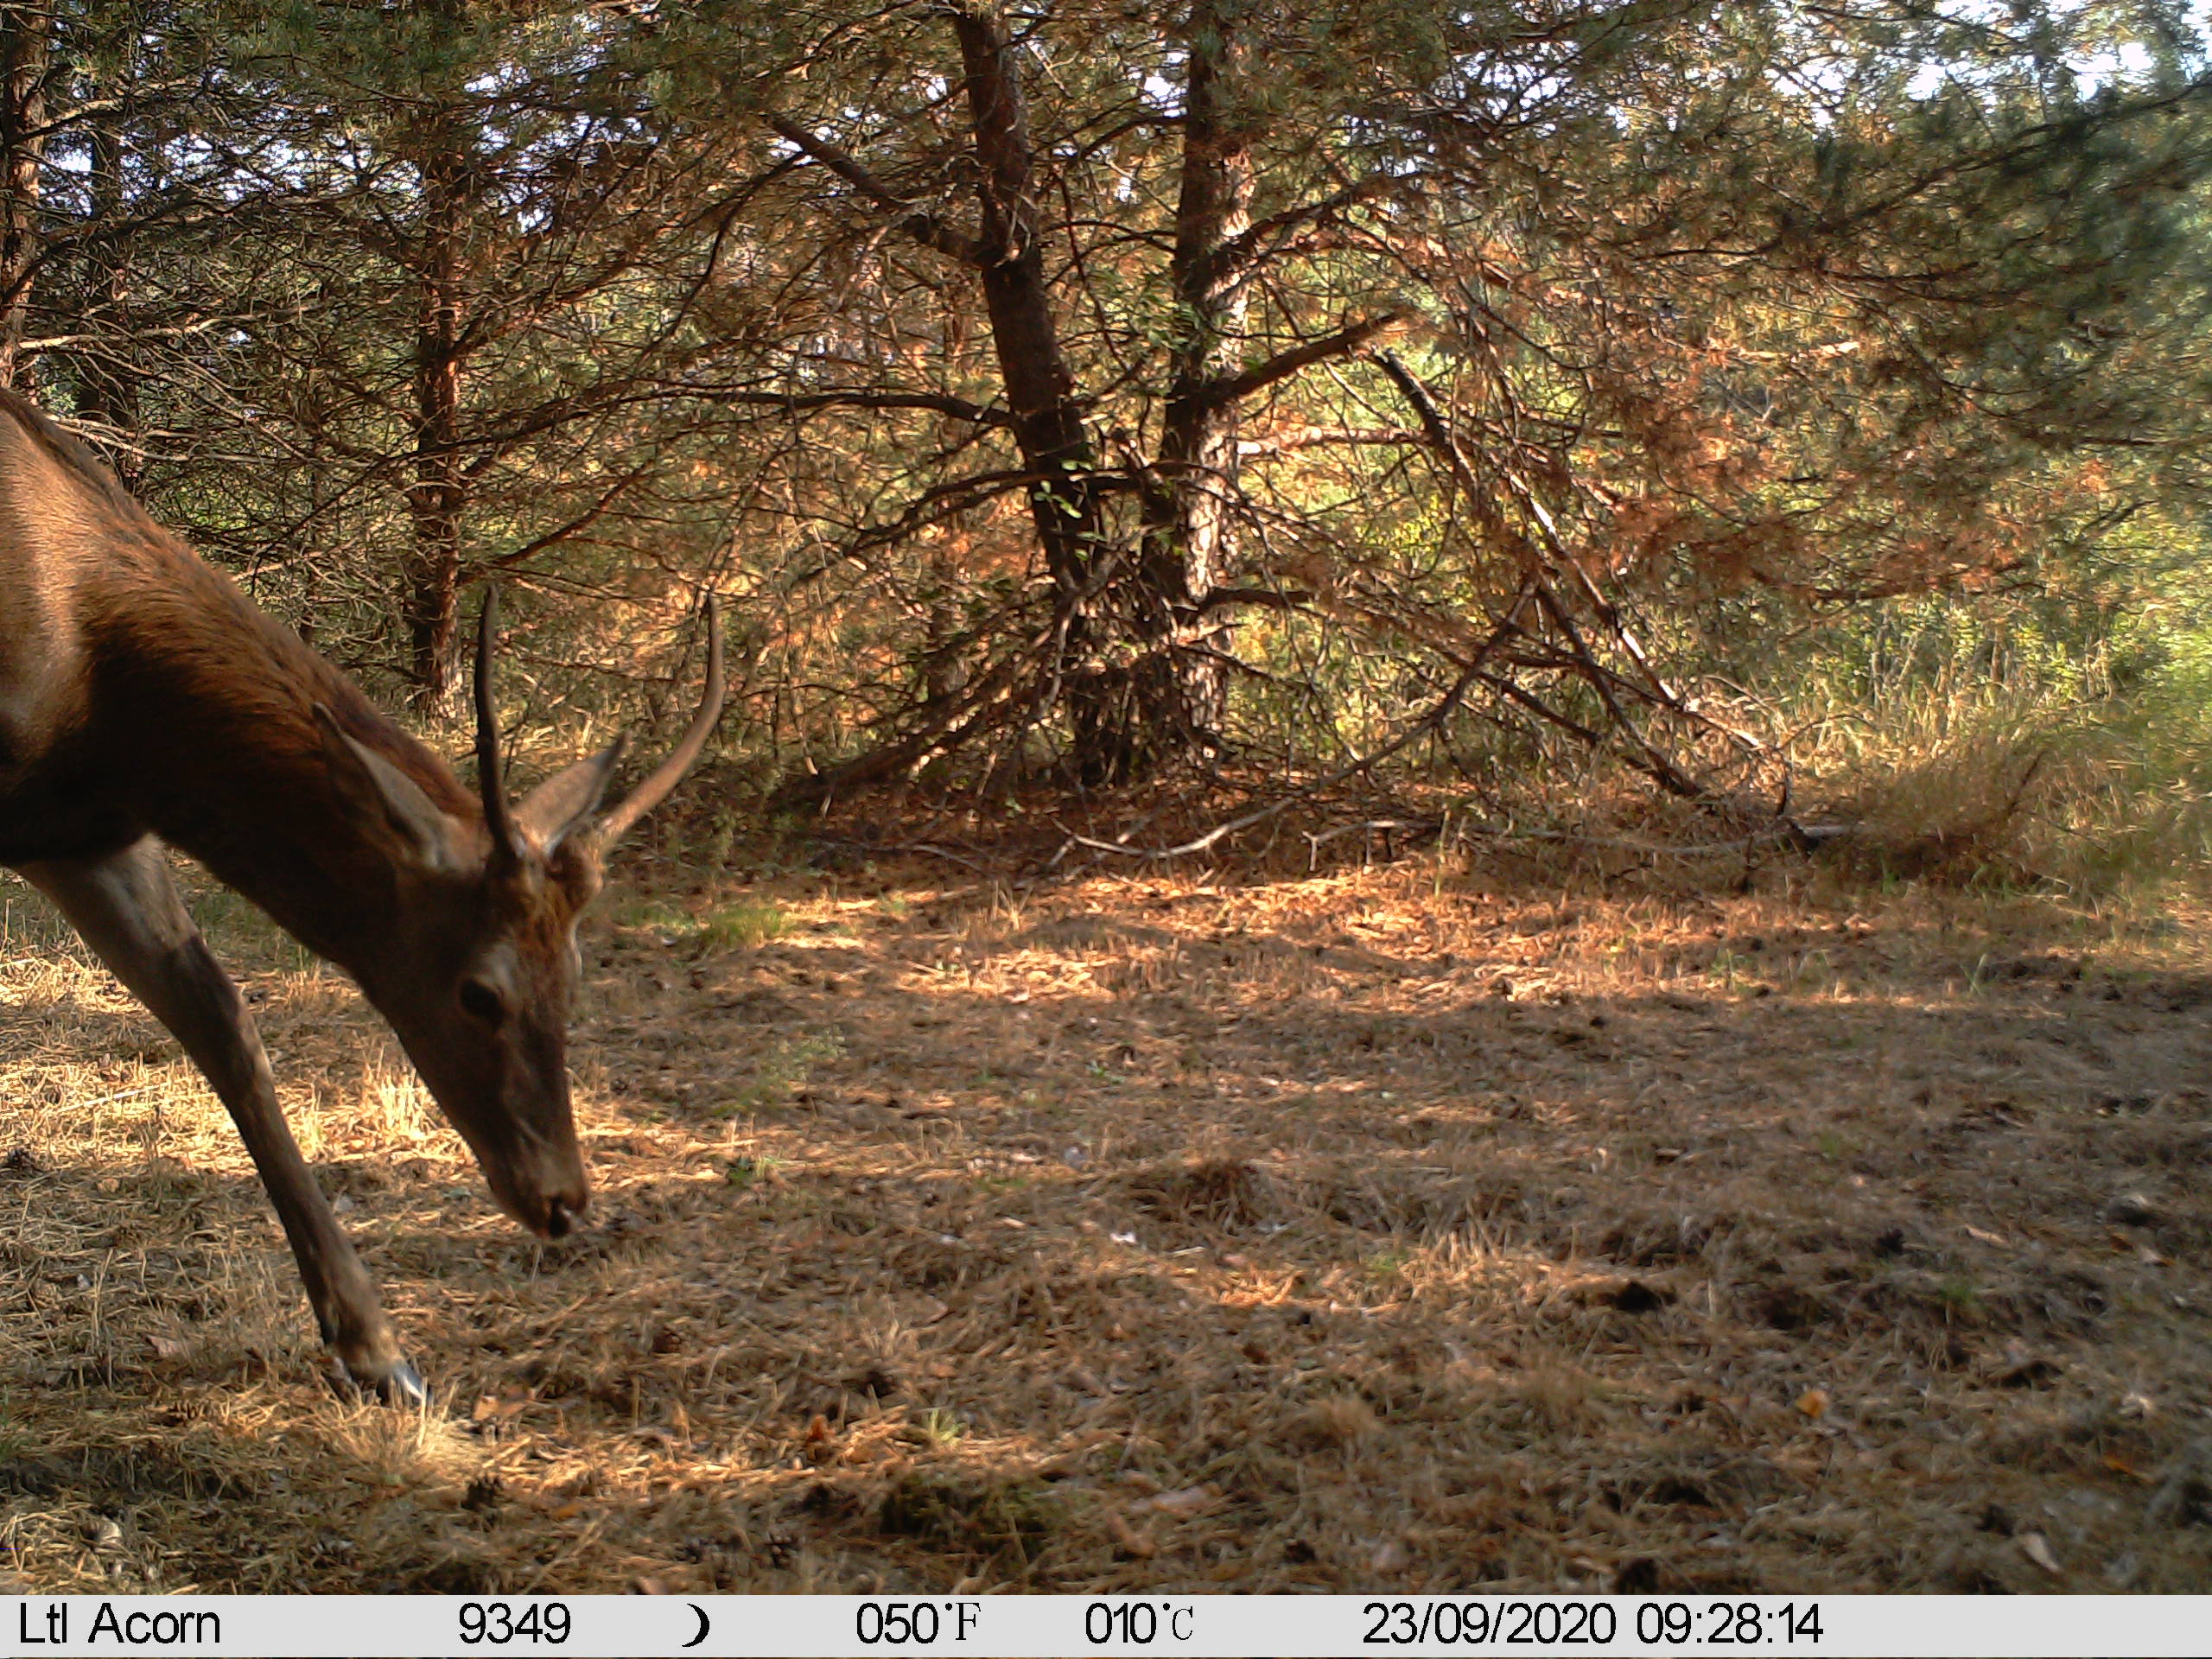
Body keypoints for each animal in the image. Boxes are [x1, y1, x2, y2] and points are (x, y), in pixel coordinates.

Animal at [0, 387, 723, 1402]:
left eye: (578, 976)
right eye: (478, 991)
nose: (562, 1200)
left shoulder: (83, 834)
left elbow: (221, 1019)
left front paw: (378, 1350)